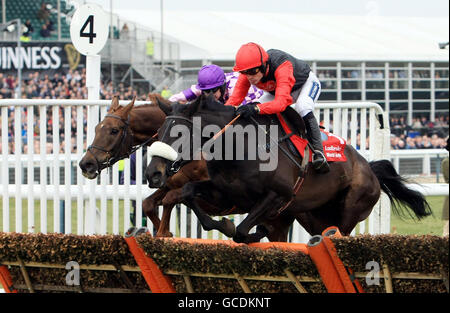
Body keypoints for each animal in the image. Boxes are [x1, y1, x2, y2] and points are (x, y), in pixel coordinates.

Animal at [146, 94, 430, 243]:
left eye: (179, 134)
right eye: (158, 132)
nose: (152, 174)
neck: (241, 148)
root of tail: (368, 167)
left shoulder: (278, 196)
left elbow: (241, 231)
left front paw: (246, 231)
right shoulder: (225, 193)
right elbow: (188, 194)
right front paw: (221, 225)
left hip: (351, 211)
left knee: (338, 233)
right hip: (314, 216)